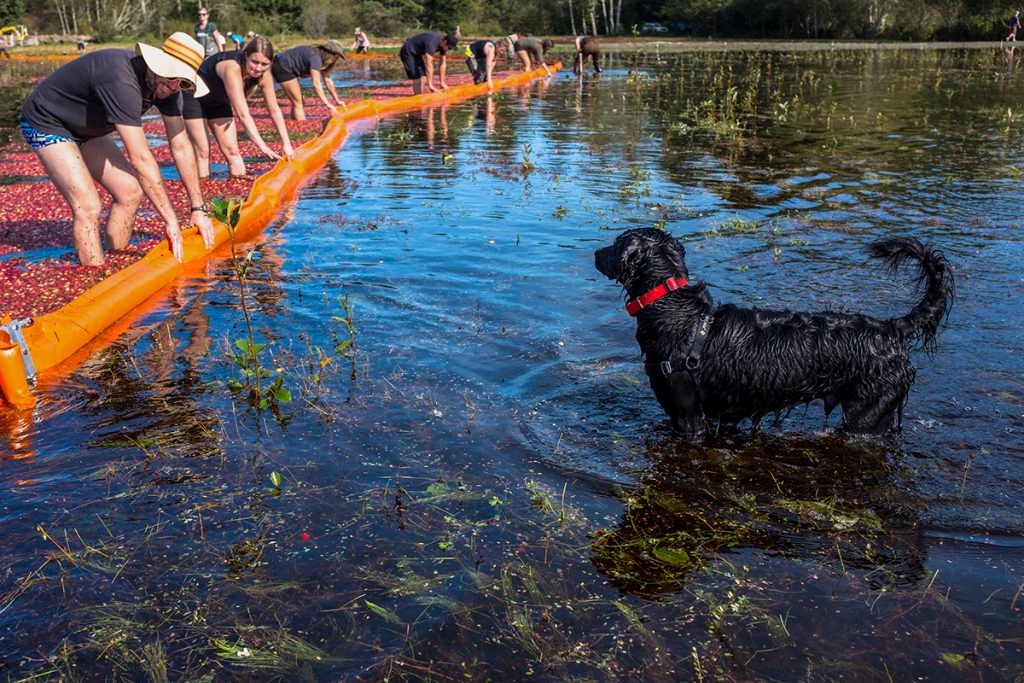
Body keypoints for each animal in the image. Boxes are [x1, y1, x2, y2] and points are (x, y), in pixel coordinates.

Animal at [598, 228, 954, 444]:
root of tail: (892, 328)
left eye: (615, 244)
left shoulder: (688, 418)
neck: (673, 309)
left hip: (867, 414)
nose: (596, 252)